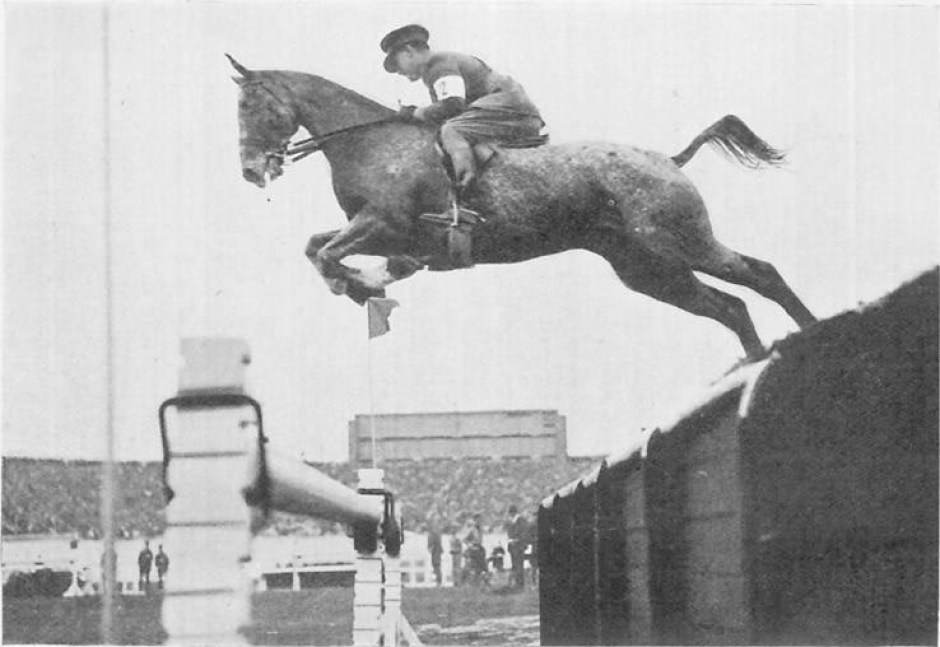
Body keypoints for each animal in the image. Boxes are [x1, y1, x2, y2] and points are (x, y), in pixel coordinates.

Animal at [229, 53, 816, 360]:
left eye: (251, 105)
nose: (252, 171)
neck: (370, 142)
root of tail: (667, 159)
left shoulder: (384, 224)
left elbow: (328, 252)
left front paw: (362, 284)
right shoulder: (374, 228)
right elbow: (316, 248)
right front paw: (361, 283)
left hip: (678, 243)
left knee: (758, 274)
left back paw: (806, 331)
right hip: (647, 269)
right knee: (728, 305)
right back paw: (758, 359)